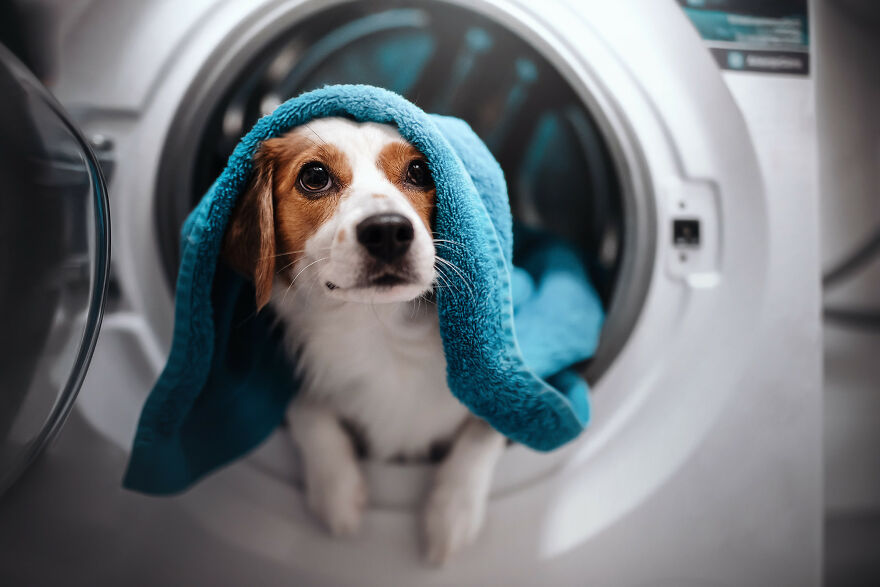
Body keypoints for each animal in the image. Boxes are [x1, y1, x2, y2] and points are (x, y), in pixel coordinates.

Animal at [223, 118, 506, 564]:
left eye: (420, 171)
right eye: (314, 176)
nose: (388, 230)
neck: (380, 332)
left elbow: (486, 429)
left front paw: (451, 514)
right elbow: (304, 405)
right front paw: (336, 489)